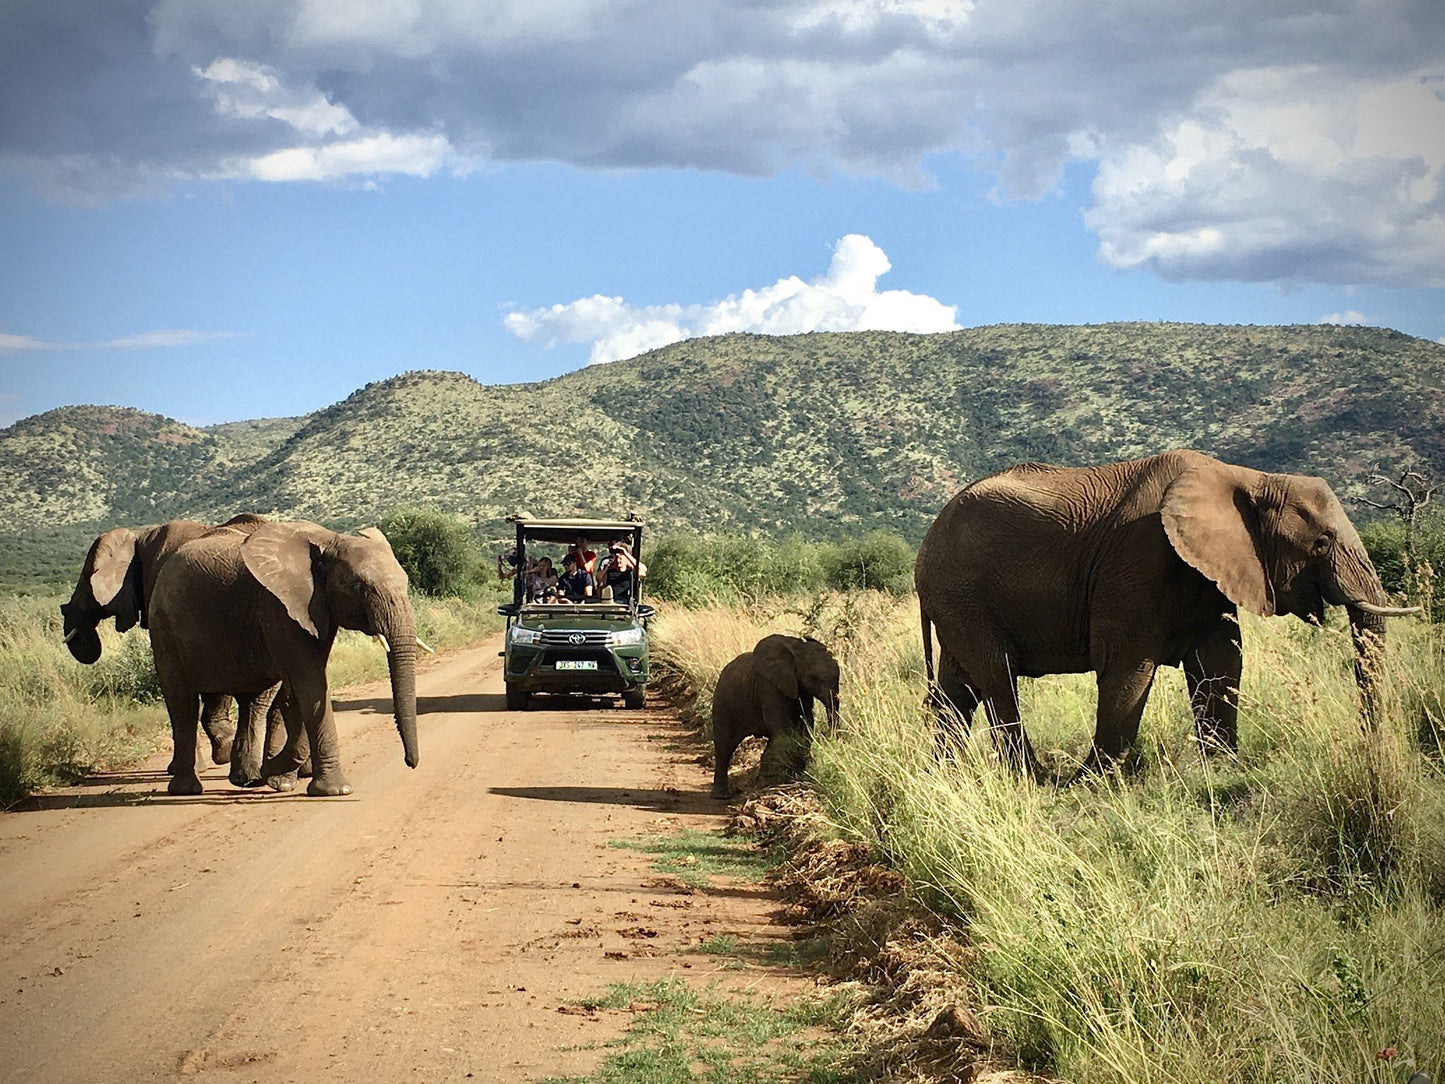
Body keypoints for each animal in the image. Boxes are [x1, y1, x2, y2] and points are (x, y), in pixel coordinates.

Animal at [151, 520, 419, 797]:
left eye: (406, 581)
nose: (410, 763)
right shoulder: (279, 607)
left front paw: (276, 777)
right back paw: (189, 789)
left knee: (253, 701)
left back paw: (247, 778)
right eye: (357, 587)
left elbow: (302, 689)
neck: (329, 542)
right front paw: (335, 790)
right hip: (164, 628)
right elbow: (308, 683)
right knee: (182, 702)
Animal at [708, 635, 843, 797]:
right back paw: (721, 796)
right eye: (813, 678)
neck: (795, 650)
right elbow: (782, 725)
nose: (832, 742)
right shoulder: (769, 685)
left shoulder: (800, 690)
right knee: (724, 746)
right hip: (723, 704)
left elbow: (805, 723)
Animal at [919, 450, 1416, 780]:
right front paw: (1096, 781)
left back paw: (940, 773)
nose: (1369, 749)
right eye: (1322, 542)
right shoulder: (1139, 560)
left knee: (957, 689)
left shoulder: (1206, 574)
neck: (1246, 478)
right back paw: (1036, 778)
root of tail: (925, 545)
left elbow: (1221, 664)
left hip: (957, 600)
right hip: (961, 592)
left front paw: (1223, 770)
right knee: (998, 677)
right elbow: (1127, 669)